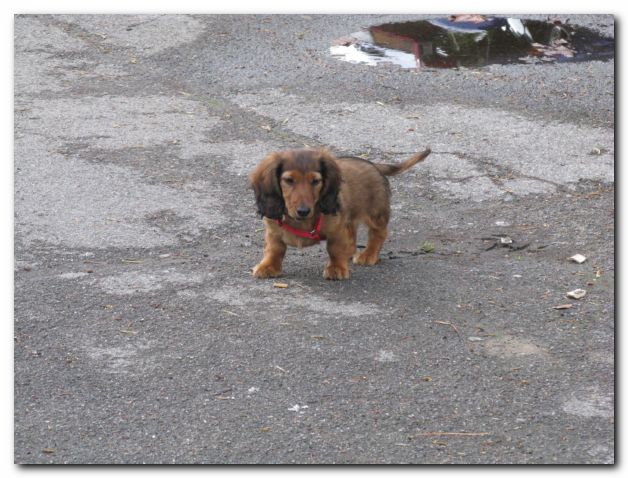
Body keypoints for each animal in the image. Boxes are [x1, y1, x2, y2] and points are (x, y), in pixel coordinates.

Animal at [248, 148, 430, 280]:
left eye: (315, 181)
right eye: (289, 180)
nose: (303, 211)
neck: (300, 221)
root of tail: (373, 165)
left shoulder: (336, 230)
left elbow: (334, 249)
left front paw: (336, 268)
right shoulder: (273, 230)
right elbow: (274, 249)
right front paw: (268, 266)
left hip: (375, 213)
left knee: (379, 233)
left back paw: (368, 254)